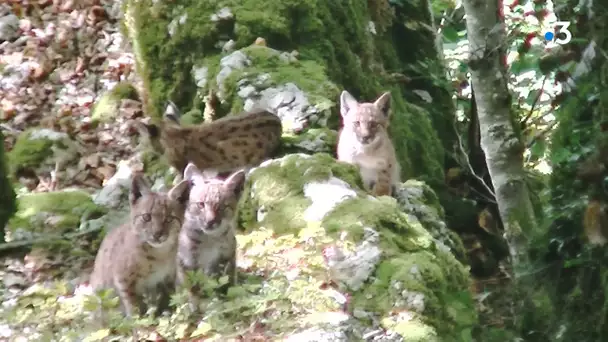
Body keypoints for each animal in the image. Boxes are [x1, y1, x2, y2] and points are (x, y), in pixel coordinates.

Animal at [88, 175, 190, 316]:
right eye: (147, 217)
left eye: (169, 219)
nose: (157, 234)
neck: (160, 253)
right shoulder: (122, 278)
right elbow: (132, 303)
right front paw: (137, 319)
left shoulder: (168, 276)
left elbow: (172, 296)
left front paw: (177, 310)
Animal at [175, 162, 243, 308]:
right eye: (201, 205)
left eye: (222, 207)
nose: (210, 221)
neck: (209, 239)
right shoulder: (187, 262)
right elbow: (193, 288)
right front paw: (197, 306)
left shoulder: (227, 256)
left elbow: (226, 282)